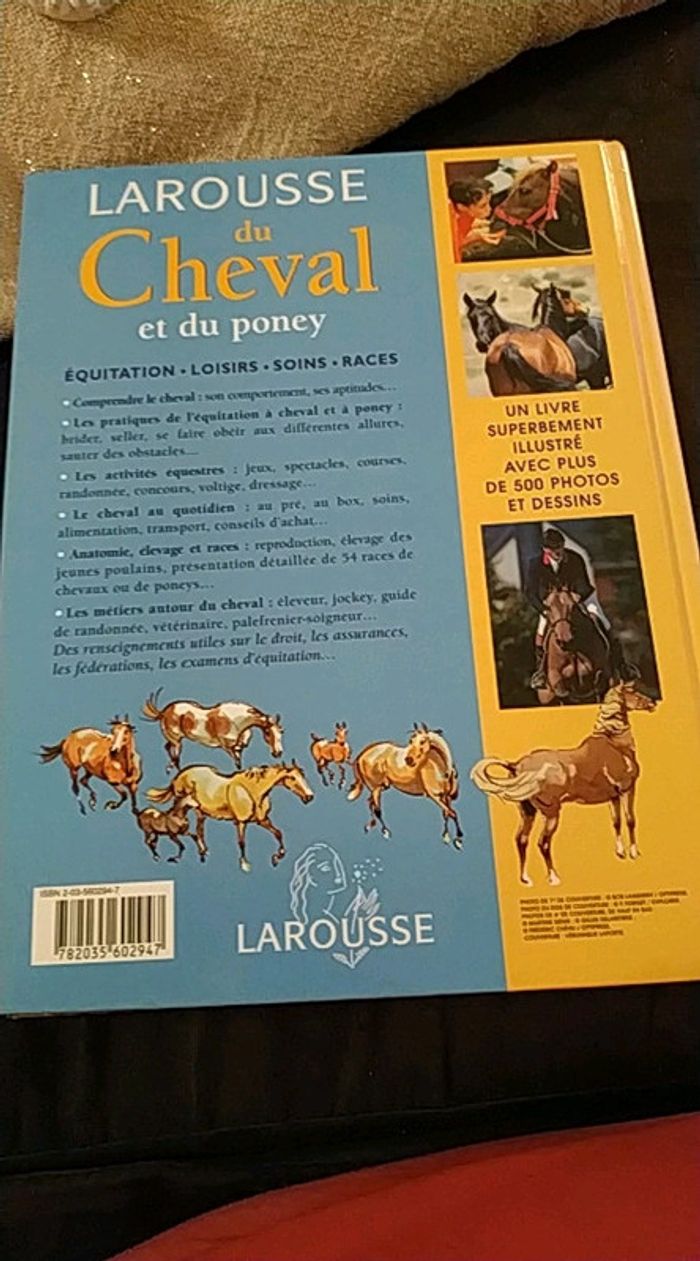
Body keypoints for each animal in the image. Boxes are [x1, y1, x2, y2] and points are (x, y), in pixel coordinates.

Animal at [142, 689, 283, 770]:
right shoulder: (228, 748)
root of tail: (164, 712)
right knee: (175, 753)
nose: (278, 753)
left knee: (168, 748)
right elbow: (237, 765)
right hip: (176, 740)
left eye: (281, 732)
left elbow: (239, 765)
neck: (237, 721)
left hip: (174, 739)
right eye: (267, 733)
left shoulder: (238, 748)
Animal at [146, 761, 314, 872]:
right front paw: (244, 864)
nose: (309, 796)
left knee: (199, 831)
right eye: (292, 778)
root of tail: (179, 775)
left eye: (302, 776)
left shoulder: (262, 820)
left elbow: (278, 833)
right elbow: (241, 842)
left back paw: (203, 852)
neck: (251, 790)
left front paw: (276, 858)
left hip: (201, 812)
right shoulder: (241, 822)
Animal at [470, 682, 656, 886]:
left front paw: (621, 852)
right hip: (551, 814)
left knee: (521, 840)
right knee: (542, 843)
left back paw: (526, 878)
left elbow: (616, 822)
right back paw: (553, 877)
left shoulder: (613, 797)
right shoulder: (627, 790)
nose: (652, 703)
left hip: (528, 812)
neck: (616, 745)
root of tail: (517, 765)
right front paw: (634, 852)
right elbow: (630, 820)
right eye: (633, 692)